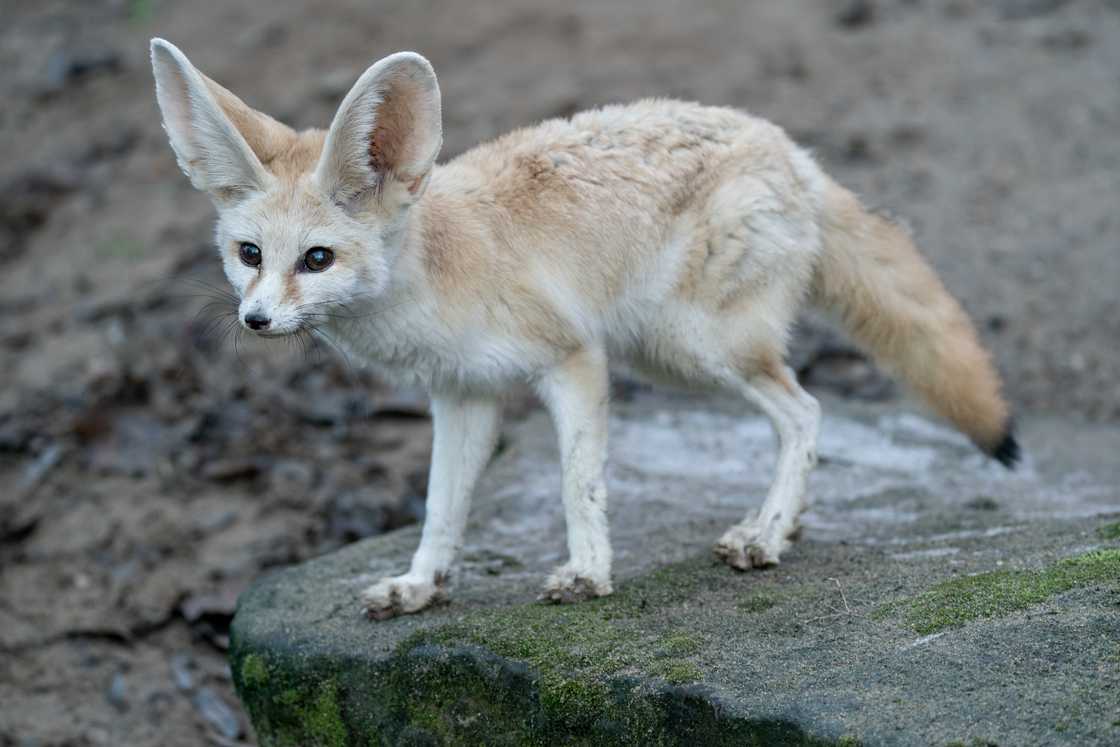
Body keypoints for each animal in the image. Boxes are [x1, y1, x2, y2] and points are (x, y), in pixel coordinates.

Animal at [148, 39, 1016, 618]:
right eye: (250, 254)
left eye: (318, 258)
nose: (256, 319)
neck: (439, 271)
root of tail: (793, 151)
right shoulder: (462, 396)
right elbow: (440, 508)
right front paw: (421, 584)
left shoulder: (574, 359)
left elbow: (578, 482)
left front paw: (589, 572)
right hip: (674, 354)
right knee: (799, 412)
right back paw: (788, 522)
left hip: (691, 349)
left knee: (806, 411)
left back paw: (766, 533)